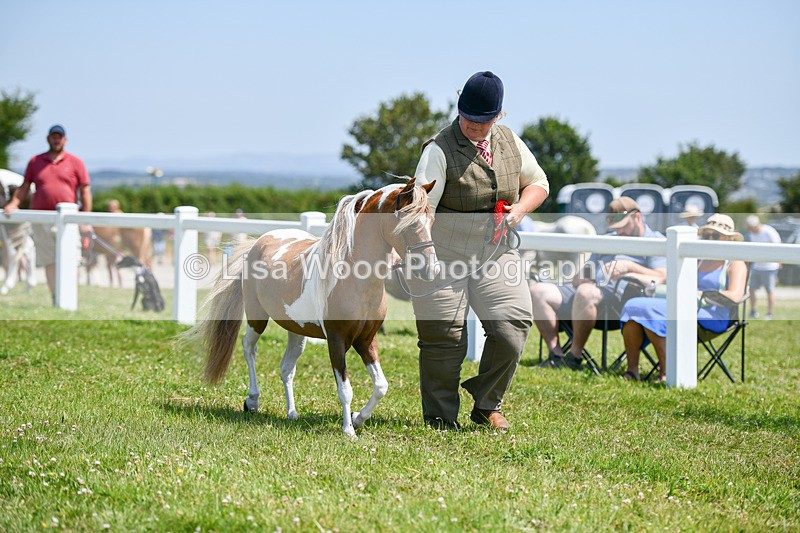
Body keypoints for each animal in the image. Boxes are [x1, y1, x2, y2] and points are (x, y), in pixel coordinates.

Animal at [179, 178, 439, 436]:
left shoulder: (366, 339)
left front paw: (358, 419)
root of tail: (257, 243)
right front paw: (348, 430)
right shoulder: (336, 340)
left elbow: (381, 386)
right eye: (407, 224)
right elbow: (345, 389)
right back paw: (252, 400)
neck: (354, 279)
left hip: (297, 331)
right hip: (257, 318)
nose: (431, 270)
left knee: (286, 368)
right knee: (248, 347)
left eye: (431, 221)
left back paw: (292, 413)